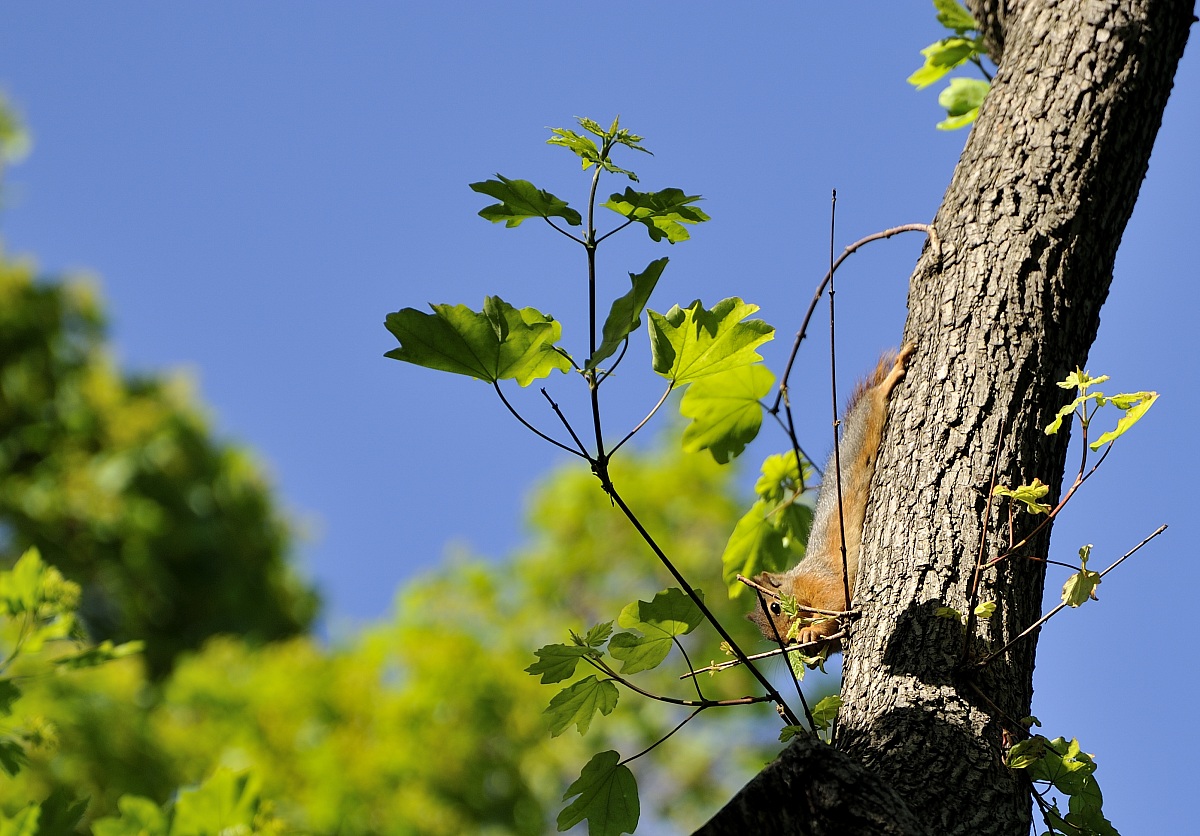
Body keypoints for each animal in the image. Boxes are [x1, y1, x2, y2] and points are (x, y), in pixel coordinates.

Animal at [748, 343, 915, 654]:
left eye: (775, 607)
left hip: (868, 417)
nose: (790, 642)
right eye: (771, 639)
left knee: (875, 398)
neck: (798, 579)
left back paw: (893, 374)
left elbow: (836, 601)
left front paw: (811, 632)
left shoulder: (824, 580)